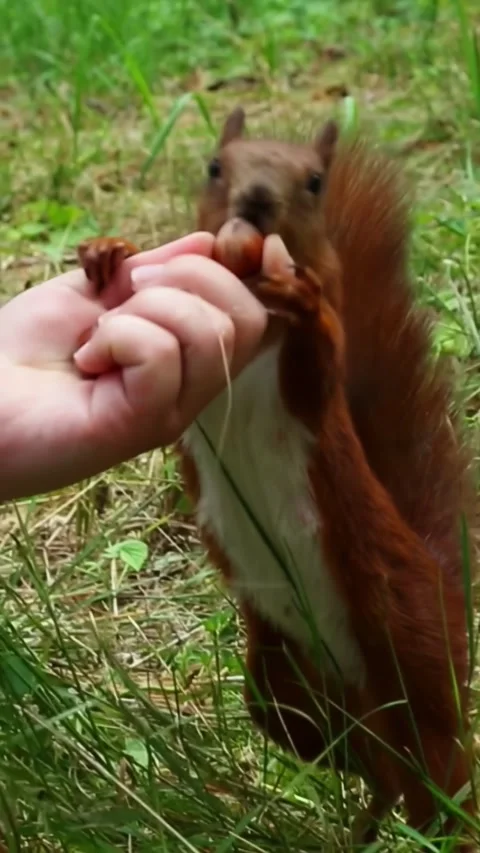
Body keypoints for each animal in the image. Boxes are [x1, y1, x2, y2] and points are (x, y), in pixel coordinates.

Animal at [77, 108, 478, 850]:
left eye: (315, 182)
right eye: (214, 166)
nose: (257, 201)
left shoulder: (316, 384)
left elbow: (317, 362)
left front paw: (300, 297)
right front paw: (108, 254)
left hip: (415, 656)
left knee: (440, 780)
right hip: (283, 688)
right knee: (374, 769)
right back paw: (361, 822)